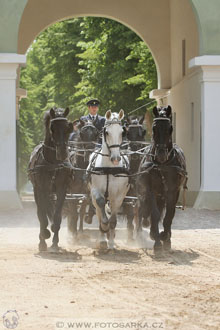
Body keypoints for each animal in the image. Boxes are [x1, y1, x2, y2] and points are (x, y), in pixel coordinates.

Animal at [27, 107, 73, 251]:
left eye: (68, 127)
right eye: (52, 128)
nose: (63, 152)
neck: (53, 163)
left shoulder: (61, 189)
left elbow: (57, 215)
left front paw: (55, 242)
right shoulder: (41, 189)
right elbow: (42, 216)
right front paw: (43, 238)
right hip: (37, 190)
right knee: (40, 211)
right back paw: (42, 236)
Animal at [87, 109, 130, 249]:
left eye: (122, 132)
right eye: (106, 132)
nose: (116, 158)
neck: (108, 168)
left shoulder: (118, 195)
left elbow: (113, 219)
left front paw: (111, 242)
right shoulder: (95, 191)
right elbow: (101, 207)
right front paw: (104, 228)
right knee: (99, 212)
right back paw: (102, 238)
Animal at [138, 105, 187, 253]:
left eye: (170, 128)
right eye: (154, 128)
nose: (161, 154)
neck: (162, 165)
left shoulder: (173, 191)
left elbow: (169, 215)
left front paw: (165, 237)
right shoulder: (151, 190)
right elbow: (154, 213)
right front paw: (156, 240)